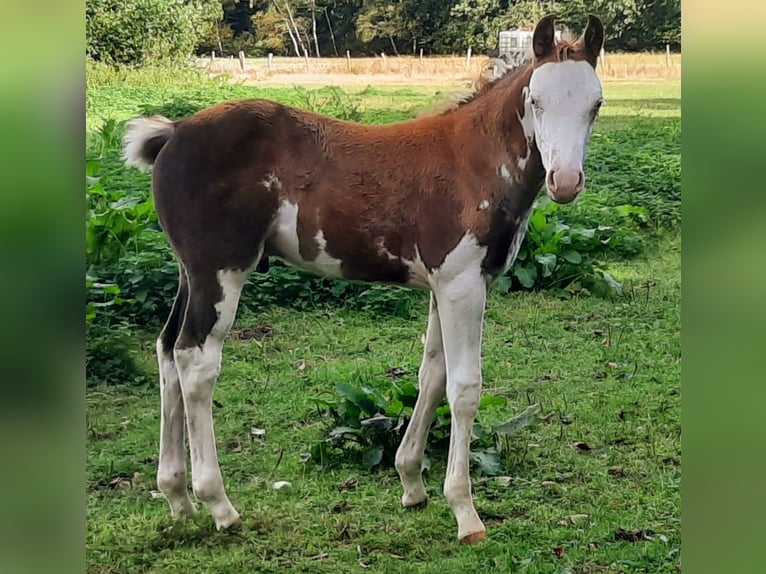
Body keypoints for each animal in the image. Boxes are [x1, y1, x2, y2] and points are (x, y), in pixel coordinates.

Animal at [122, 14, 605, 543]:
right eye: (536, 101)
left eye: (595, 105)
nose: (565, 182)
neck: (475, 164)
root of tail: (173, 133)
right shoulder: (463, 285)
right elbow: (463, 389)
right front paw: (464, 512)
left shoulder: (441, 286)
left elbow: (431, 375)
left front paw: (412, 483)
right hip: (221, 271)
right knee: (196, 360)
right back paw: (219, 505)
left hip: (190, 273)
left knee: (167, 350)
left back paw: (176, 497)